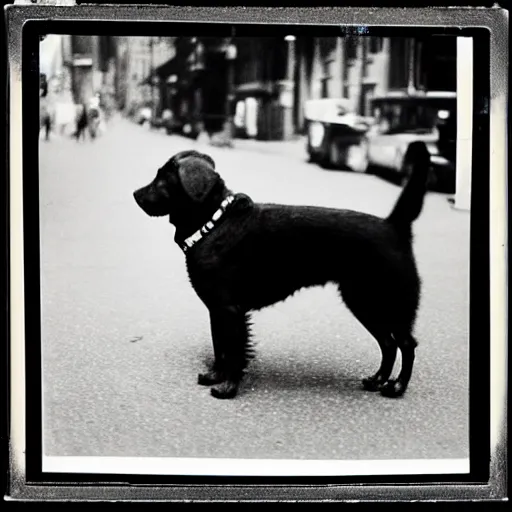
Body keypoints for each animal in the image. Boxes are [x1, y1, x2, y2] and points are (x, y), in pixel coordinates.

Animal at [134, 144, 430, 400]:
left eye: (161, 179)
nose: (135, 194)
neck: (214, 224)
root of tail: (393, 226)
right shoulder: (216, 311)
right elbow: (220, 349)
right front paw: (215, 376)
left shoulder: (230, 310)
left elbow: (234, 352)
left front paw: (228, 387)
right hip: (364, 304)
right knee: (388, 344)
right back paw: (377, 380)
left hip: (387, 304)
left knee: (406, 344)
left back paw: (397, 387)